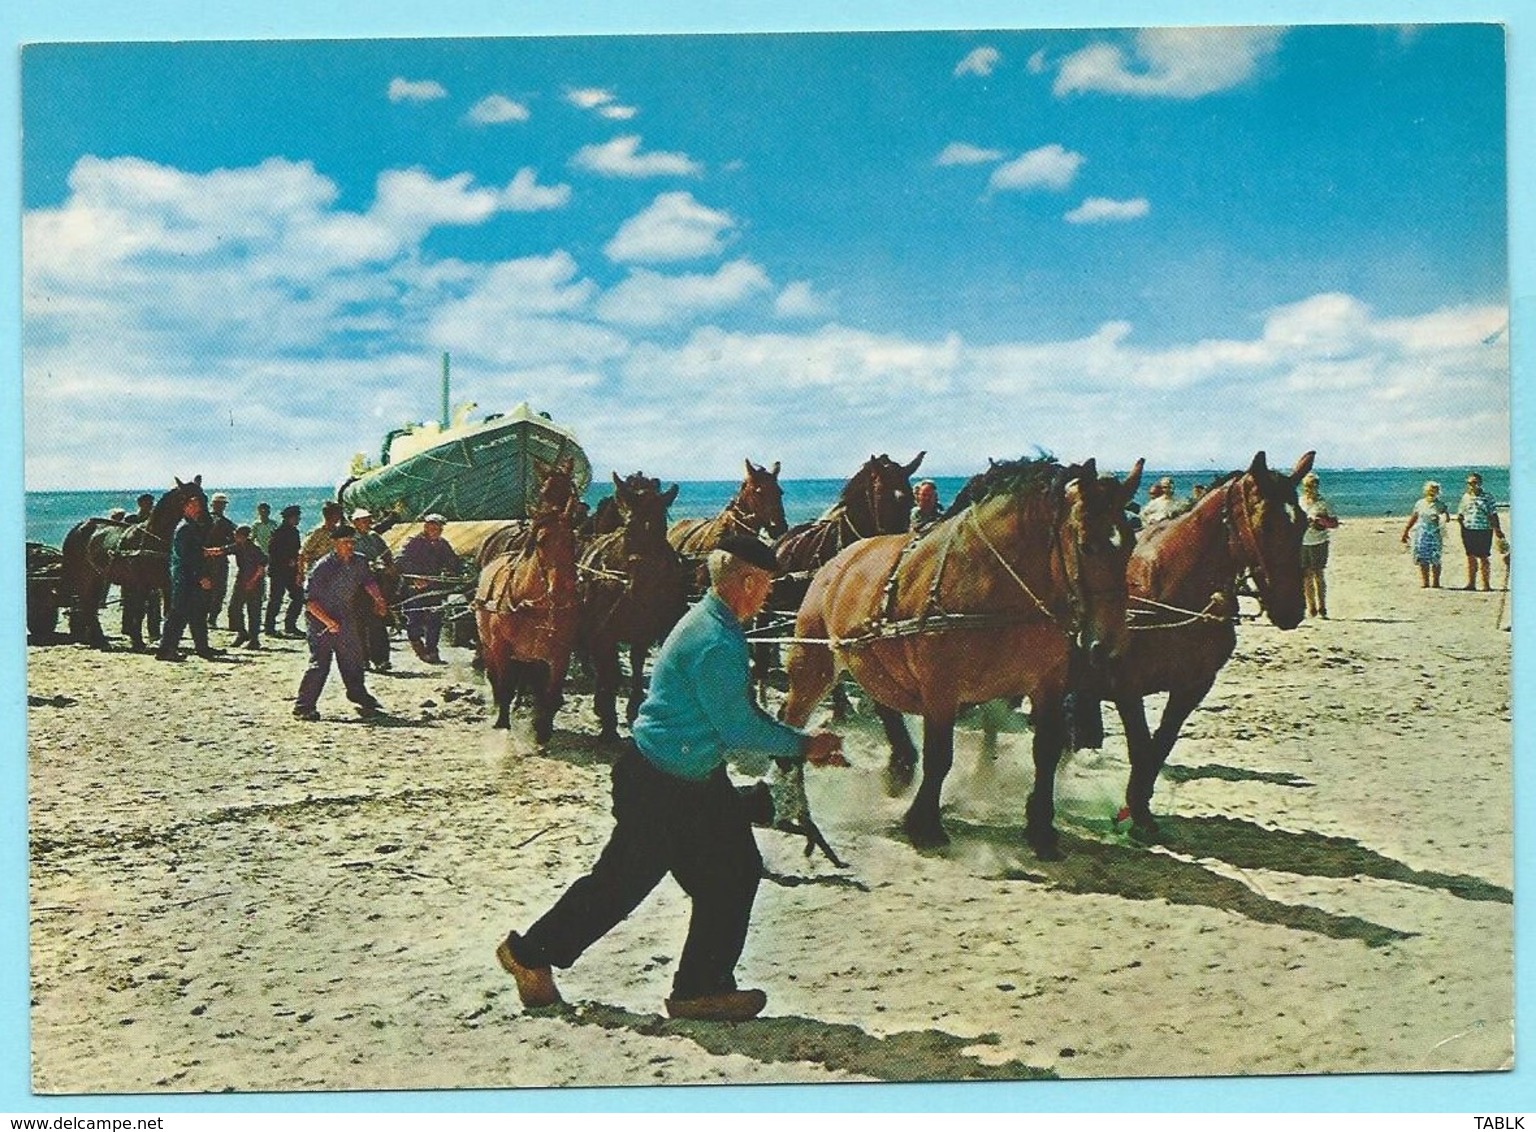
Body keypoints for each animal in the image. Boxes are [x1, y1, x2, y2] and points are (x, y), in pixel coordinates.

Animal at [58, 476, 207, 648]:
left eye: (204, 497)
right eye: (190, 499)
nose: (207, 522)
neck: (150, 539)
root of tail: (78, 527)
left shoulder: (164, 583)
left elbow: (167, 611)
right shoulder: (141, 584)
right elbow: (139, 612)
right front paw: (137, 640)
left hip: (97, 577)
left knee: (89, 605)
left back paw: (98, 640)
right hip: (83, 576)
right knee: (85, 604)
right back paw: (99, 640)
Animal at [577, 473, 688, 737]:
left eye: (662, 529)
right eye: (628, 529)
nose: (643, 582)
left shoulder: (643, 633)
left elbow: (637, 666)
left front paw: (634, 708)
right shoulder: (604, 632)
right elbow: (611, 672)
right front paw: (608, 721)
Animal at [792, 451, 1142, 853]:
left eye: (1131, 544)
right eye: (1086, 545)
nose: (1108, 644)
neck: (999, 588)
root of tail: (837, 561)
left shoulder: (1048, 683)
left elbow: (1047, 749)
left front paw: (1040, 825)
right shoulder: (941, 689)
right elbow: (940, 756)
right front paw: (924, 823)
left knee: (884, 704)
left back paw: (900, 765)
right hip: (814, 662)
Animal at [1099, 448, 1314, 841]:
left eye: (1304, 522)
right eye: (1266, 524)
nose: (1291, 608)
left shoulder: (1192, 686)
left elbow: (1159, 747)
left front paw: (1139, 811)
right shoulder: (1126, 686)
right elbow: (1141, 746)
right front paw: (1136, 814)